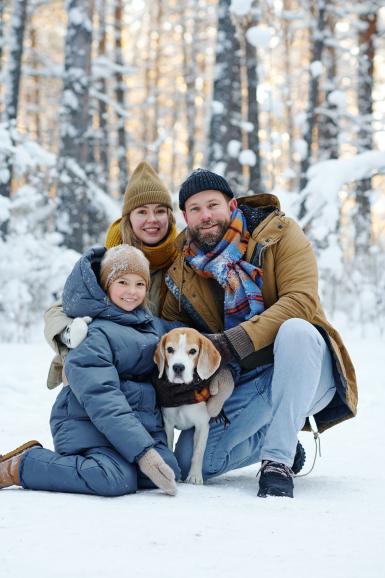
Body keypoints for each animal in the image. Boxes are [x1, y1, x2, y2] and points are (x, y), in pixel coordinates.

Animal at [153, 326, 225, 484]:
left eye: (192, 351)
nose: (178, 367)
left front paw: (194, 476)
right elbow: (169, 446)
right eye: (170, 349)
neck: (182, 394)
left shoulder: (202, 426)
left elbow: (197, 453)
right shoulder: (168, 424)